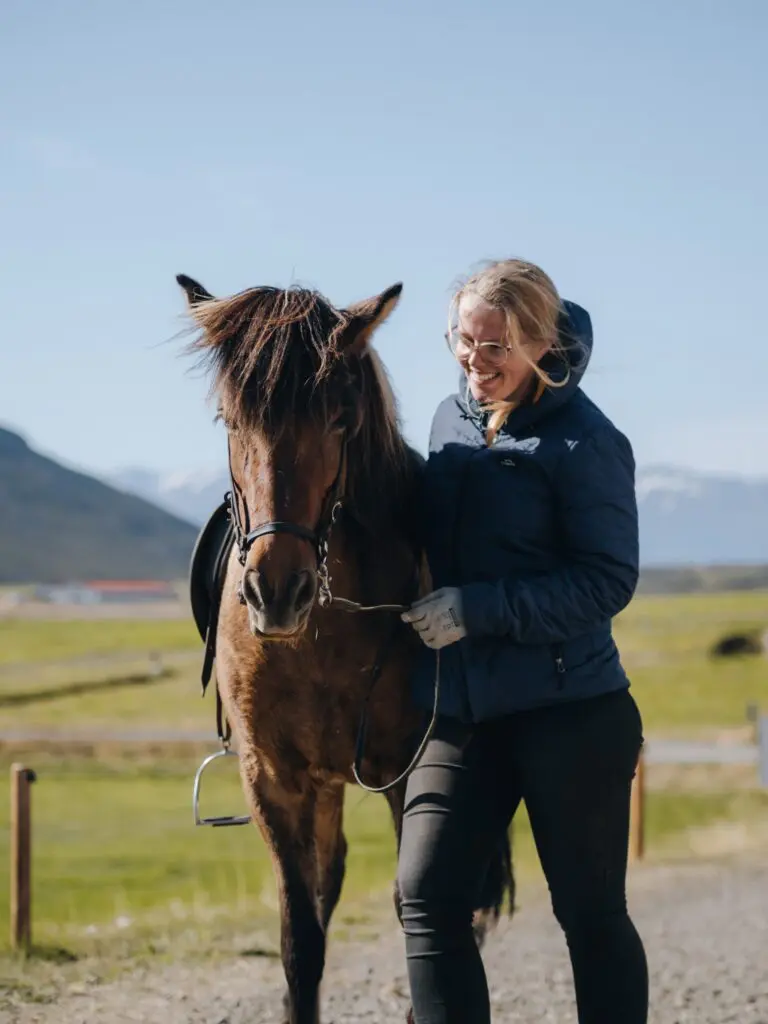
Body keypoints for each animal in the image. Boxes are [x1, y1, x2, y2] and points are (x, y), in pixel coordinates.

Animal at [179, 273, 515, 1024]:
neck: (323, 633)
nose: (277, 590)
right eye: (228, 420)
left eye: (338, 419)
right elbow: (302, 935)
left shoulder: (410, 774)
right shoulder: (275, 780)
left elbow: (418, 911)